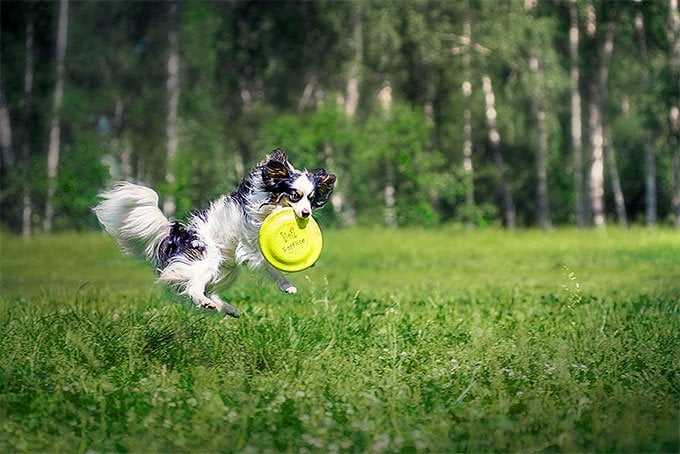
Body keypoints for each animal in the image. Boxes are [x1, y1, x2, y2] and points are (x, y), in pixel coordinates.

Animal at [93, 149, 338, 316]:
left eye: (312, 199)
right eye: (295, 196)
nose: (306, 213)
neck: (271, 202)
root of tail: (178, 234)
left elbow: (273, 269)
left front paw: (288, 286)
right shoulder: (251, 243)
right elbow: (270, 263)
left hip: (227, 271)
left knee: (205, 289)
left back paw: (227, 308)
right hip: (207, 259)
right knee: (193, 287)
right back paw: (205, 302)